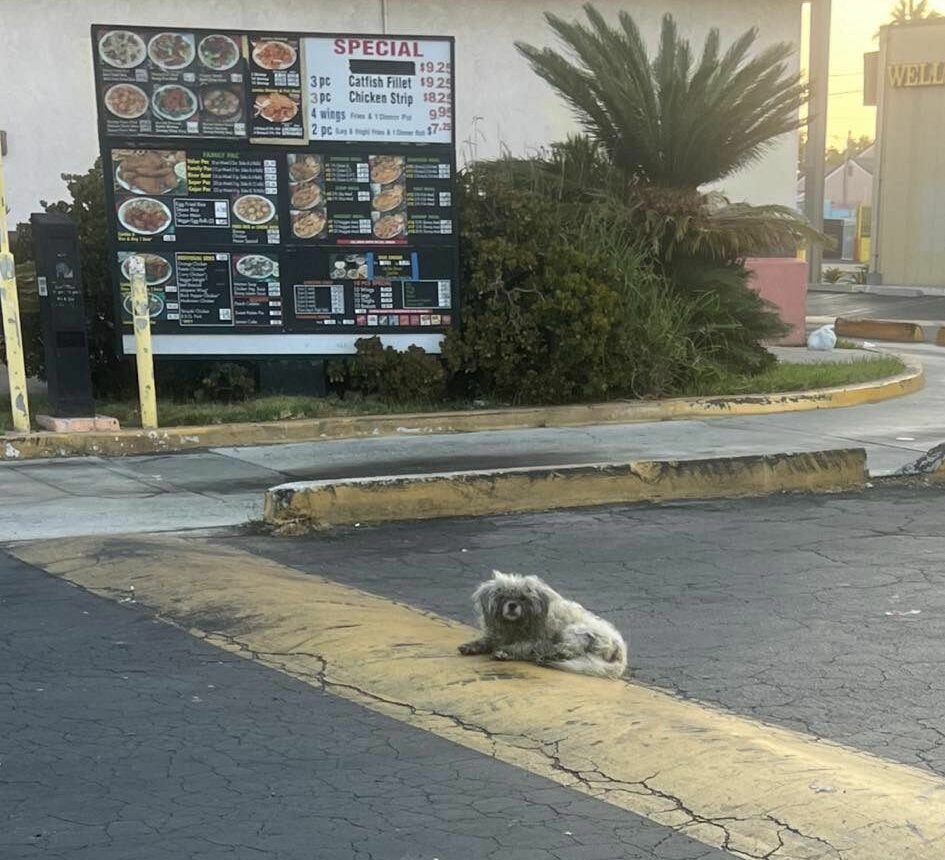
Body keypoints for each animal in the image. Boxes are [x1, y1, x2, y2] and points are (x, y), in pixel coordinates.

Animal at [458, 572, 628, 680]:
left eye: (523, 598)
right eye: (503, 596)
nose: (512, 605)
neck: (515, 624)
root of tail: (621, 651)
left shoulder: (538, 642)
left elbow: (520, 646)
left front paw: (504, 652)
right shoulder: (497, 635)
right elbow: (485, 640)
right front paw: (471, 646)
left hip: (575, 631)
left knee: (569, 651)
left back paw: (547, 657)